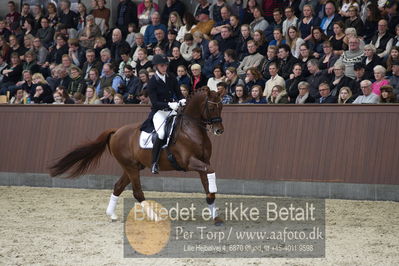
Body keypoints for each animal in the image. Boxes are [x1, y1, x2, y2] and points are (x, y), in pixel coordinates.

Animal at [49, 89, 225, 224]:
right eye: (211, 107)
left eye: (222, 106)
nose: (219, 130)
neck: (191, 130)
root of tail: (116, 131)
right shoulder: (189, 162)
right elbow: (211, 172)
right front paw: (213, 194)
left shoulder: (203, 161)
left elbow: (207, 181)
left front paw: (215, 215)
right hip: (131, 167)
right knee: (137, 193)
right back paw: (155, 217)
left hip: (132, 167)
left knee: (118, 186)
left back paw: (112, 215)